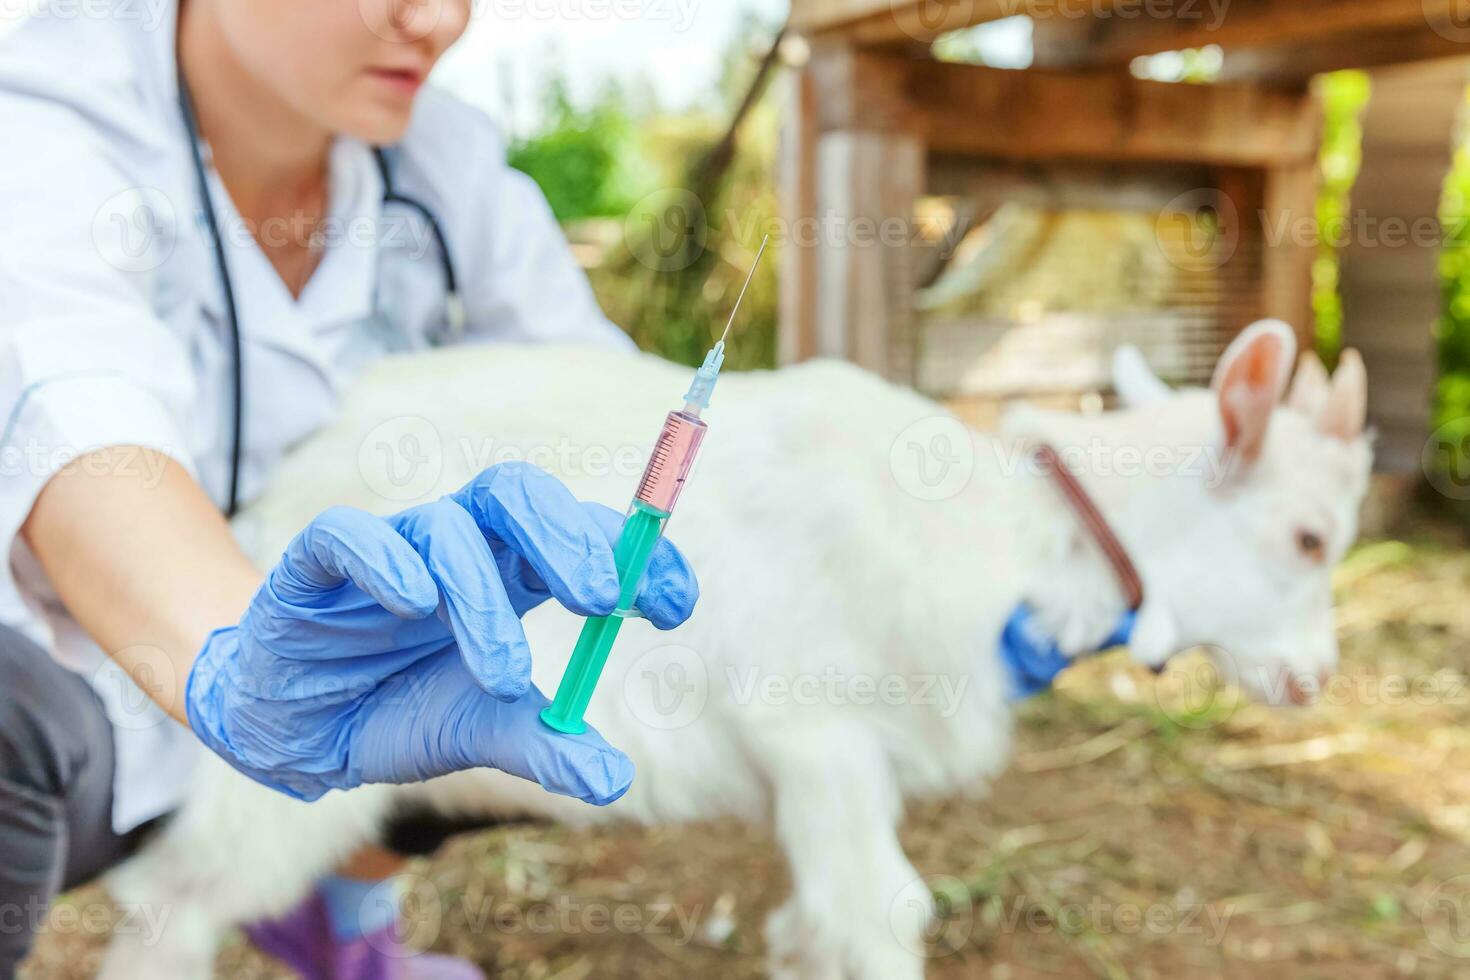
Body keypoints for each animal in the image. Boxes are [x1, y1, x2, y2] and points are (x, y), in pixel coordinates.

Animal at [97, 321, 1370, 980]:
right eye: (1310, 535)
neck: (1016, 536)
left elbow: (814, 920)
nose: (1314, 680)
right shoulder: (818, 731)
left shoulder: (829, 780)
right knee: (174, 893)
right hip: (284, 758)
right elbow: (882, 912)